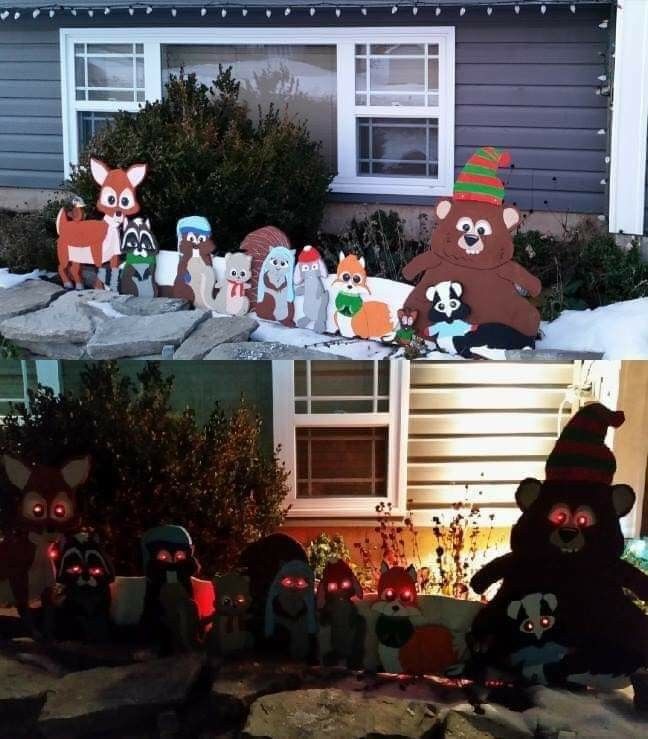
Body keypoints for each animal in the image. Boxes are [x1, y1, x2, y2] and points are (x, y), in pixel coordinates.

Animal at [402, 147, 540, 342]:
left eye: (482, 229)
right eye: (465, 226)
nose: (471, 239)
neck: (470, 265)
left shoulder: (505, 268)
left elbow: (519, 273)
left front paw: (536, 288)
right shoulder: (436, 258)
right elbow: (421, 261)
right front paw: (407, 272)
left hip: (518, 311)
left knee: (528, 315)